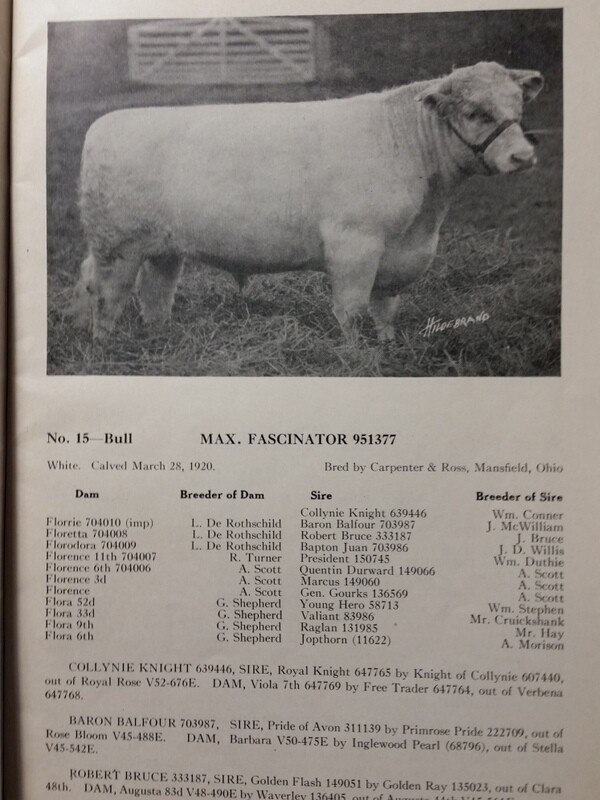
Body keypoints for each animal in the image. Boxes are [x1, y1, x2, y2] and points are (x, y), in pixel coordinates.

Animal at [71, 62, 543, 342]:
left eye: (518, 107)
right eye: (475, 112)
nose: (523, 156)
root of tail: (103, 125)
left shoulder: (400, 253)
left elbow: (386, 309)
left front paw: (388, 350)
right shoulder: (354, 244)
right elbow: (352, 311)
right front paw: (356, 358)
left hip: (163, 248)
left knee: (155, 296)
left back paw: (162, 345)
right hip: (117, 245)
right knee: (106, 294)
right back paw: (106, 348)